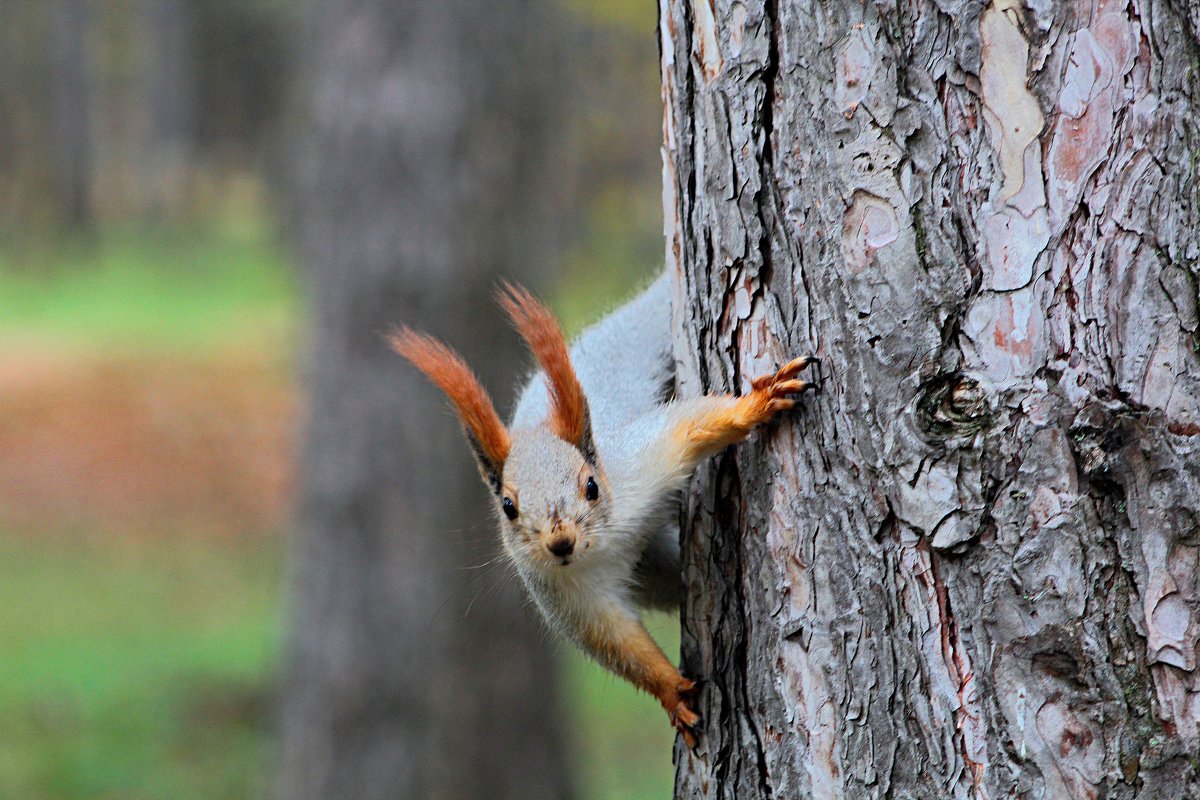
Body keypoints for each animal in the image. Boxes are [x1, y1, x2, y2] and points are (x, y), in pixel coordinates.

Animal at [388, 273, 820, 743]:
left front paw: (756, 404)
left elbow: (690, 426)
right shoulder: (563, 593)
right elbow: (616, 641)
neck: (603, 544)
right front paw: (672, 692)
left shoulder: (639, 464)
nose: (560, 543)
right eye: (507, 507)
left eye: (591, 486)